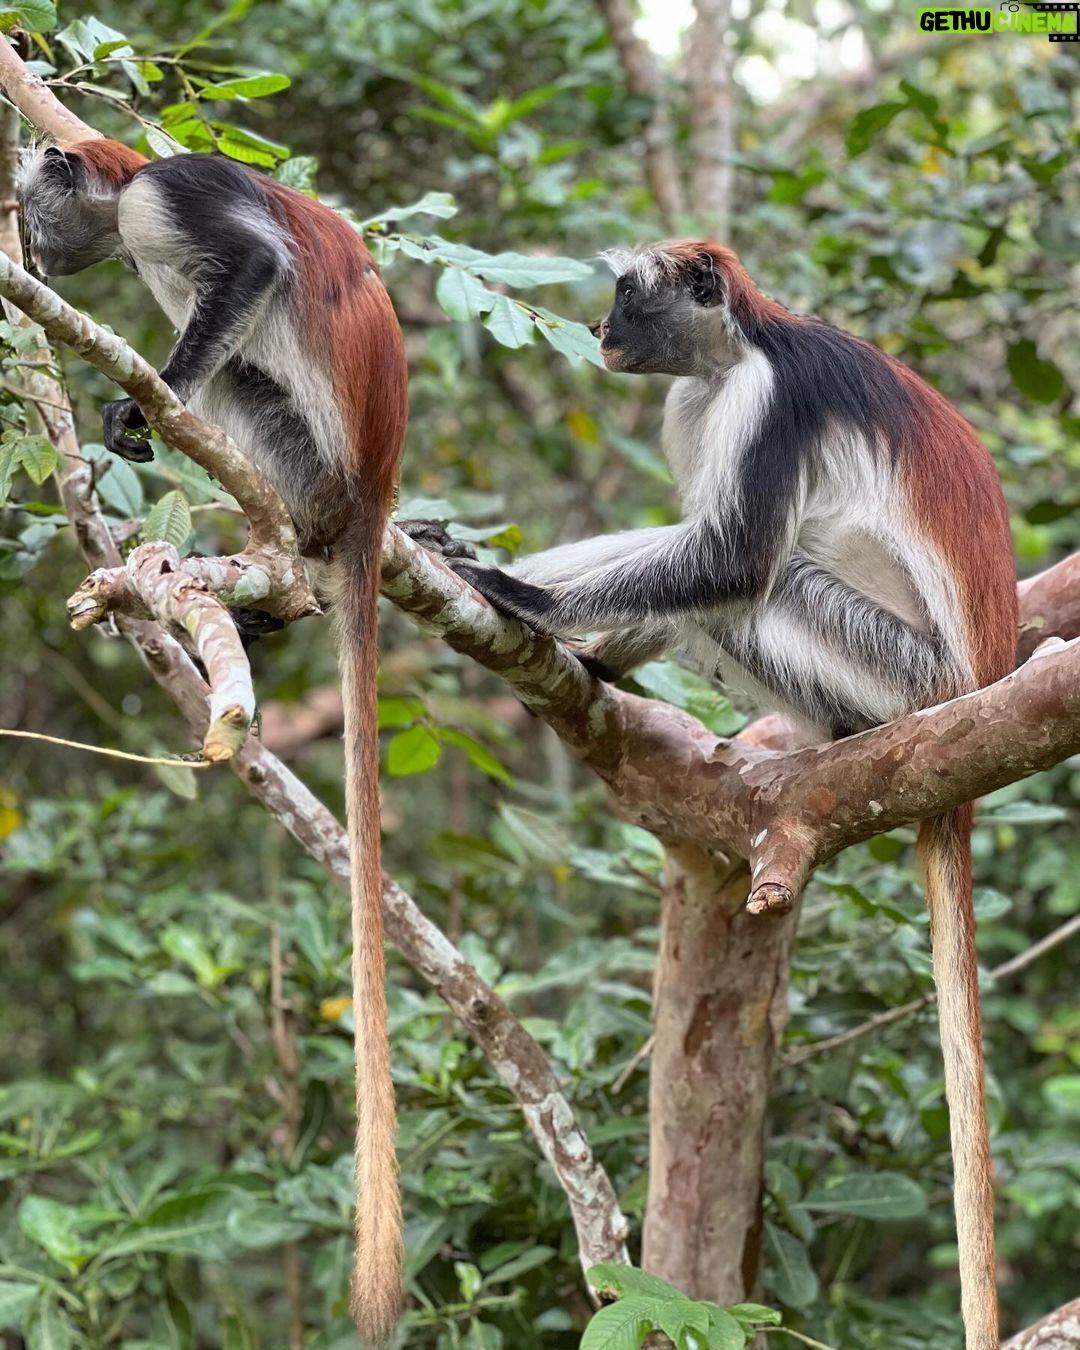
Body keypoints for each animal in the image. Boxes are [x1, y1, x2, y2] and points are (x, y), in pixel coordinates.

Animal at [19, 138, 409, 1343]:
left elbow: (250, 267)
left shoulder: (166, 197)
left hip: (313, 463)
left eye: (32, 211)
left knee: (245, 377)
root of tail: (371, 502)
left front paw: (146, 403)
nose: (28, 247)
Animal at [408, 241, 1017, 1350]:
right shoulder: (694, 401)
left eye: (624, 295)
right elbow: (690, 545)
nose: (600, 331)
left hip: (908, 678)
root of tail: (976, 693)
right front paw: (485, 576)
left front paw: (529, 599)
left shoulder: (764, 406)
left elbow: (727, 558)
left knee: (764, 583)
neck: (745, 346)